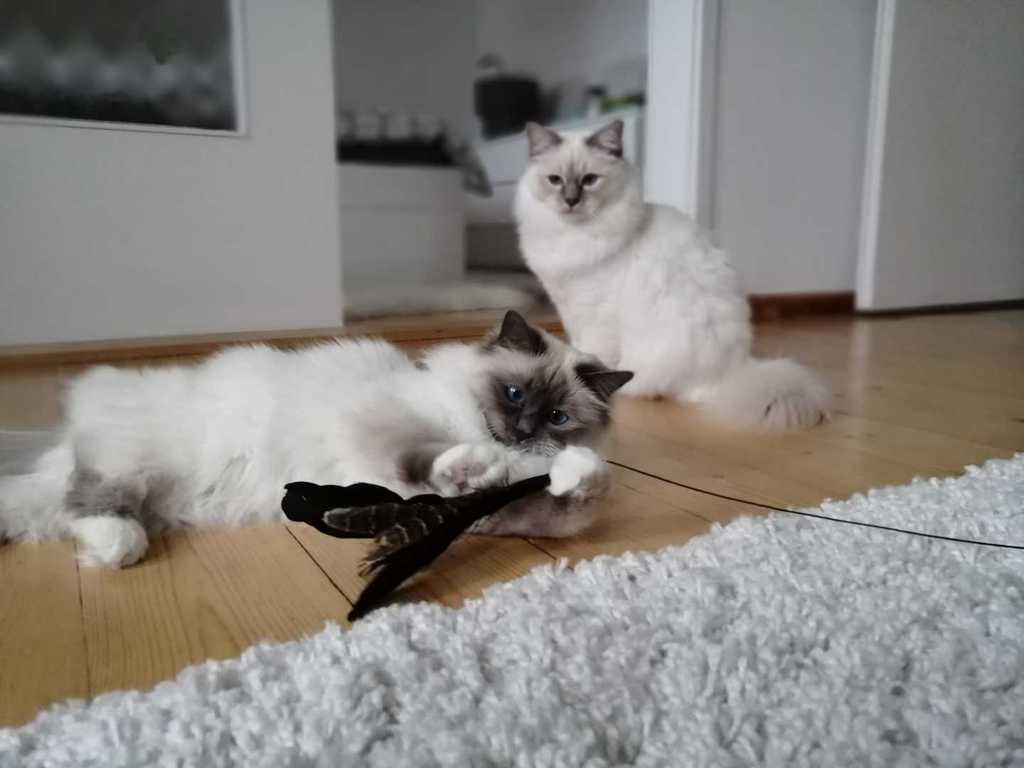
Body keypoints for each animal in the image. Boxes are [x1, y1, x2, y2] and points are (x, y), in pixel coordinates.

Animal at [0, 311, 633, 568]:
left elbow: (566, 504)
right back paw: (117, 545)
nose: (522, 433)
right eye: (514, 394)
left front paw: (576, 473)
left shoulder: (471, 510)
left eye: (557, 417)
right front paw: (481, 460)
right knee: (89, 492)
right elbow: (424, 457)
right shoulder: (383, 428)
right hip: (132, 464)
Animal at [516, 120, 830, 431]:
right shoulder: (568, 309)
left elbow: (587, 357)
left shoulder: (595, 317)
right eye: (554, 180)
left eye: (590, 180)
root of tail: (733, 373)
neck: (572, 236)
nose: (571, 201)